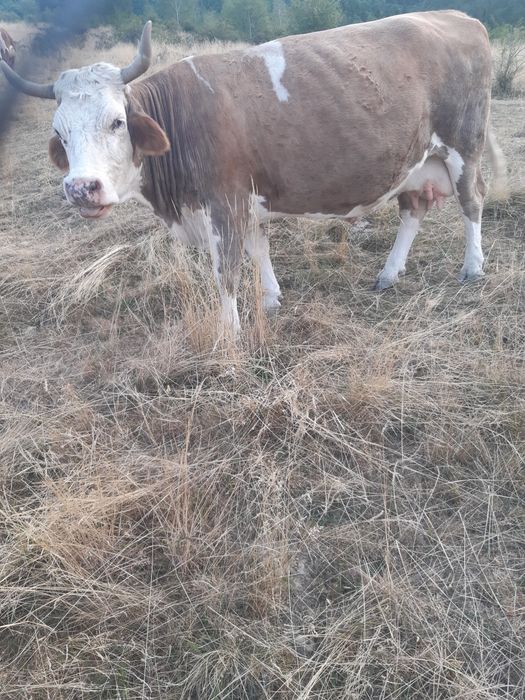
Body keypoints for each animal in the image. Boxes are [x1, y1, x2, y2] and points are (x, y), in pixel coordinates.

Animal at [0, 11, 506, 333]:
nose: (81, 188)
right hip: (414, 162)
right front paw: (270, 298)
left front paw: (230, 332)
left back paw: (472, 267)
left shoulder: (224, 201)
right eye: (60, 133)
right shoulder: (246, 200)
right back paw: (389, 273)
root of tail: (458, 16)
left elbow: (226, 270)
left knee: (473, 201)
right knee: (413, 211)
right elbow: (258, 249)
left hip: (464, 146)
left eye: (116, 121)